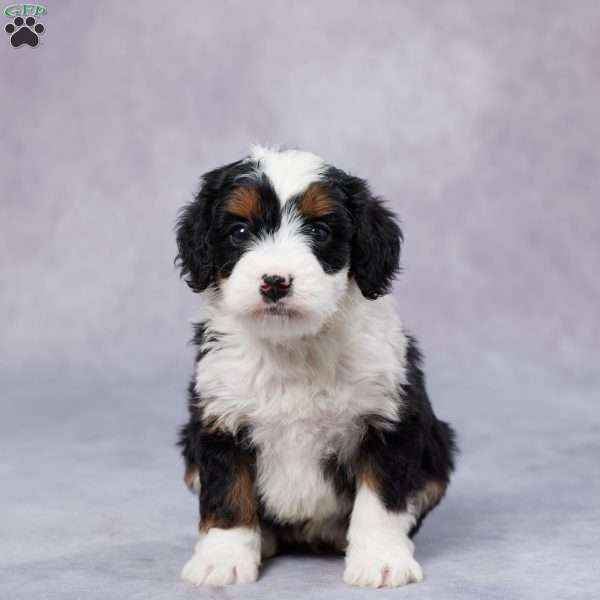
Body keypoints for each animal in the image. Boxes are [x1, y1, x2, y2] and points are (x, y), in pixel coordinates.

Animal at [176, 145, 458, 584]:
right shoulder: (219, 416)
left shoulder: (387, 417)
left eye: (320, 232)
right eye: (239, 232)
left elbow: (381, 499)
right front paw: (221, 559)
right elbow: (227, 493)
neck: (293, 345)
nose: (275, 281)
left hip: (438, 451)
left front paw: (380, 559)